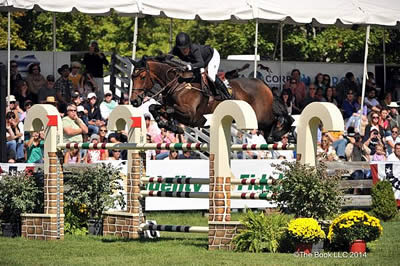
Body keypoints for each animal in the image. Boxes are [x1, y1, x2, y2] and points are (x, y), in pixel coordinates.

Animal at [131, 55, 290, 139]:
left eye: (142, 77)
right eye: (132, 76)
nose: (134, 101)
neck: (178, 83)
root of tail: (262, 84)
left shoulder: (190, 115)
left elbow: (169, 110)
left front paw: (170, 125)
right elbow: (154, 107)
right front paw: (168, 125)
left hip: (260, 116)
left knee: (280, 118)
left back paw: (278, 134)